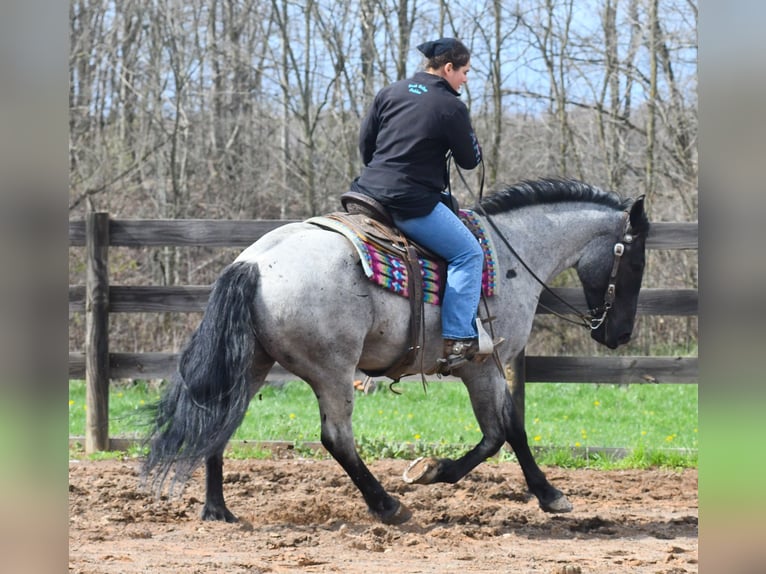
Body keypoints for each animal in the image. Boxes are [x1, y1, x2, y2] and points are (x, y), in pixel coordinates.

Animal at [143, 177, 650, 525]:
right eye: (637, 259)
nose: (620, 333)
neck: (509, 258)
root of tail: (252, 264)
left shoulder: (482, 370)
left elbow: (498, 433)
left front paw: (433, 470)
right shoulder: (483, 365)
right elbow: (507, 432)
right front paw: (547, 494)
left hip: (251, 365)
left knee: (219, 423)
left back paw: (217, 510)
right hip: (332, 371)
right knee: (337, 438)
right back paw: (388, 505)